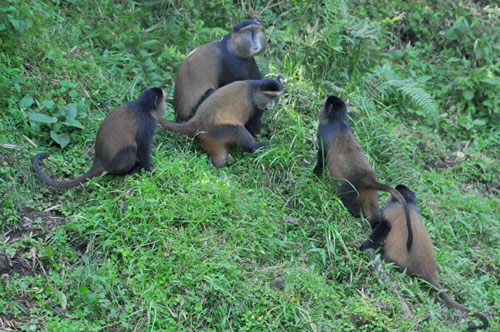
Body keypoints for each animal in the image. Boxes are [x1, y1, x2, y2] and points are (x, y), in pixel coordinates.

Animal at [32, 87, 167, 188]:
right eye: (163, 102)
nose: (165, 107)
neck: (141, 105)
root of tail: (99, 160)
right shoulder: (148, 122)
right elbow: (143, 147)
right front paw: (149, 172)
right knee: (131, 149)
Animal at [314, 96, 412, 252]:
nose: (322, 101)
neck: (337, 119)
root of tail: (370, 180)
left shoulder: (323, 133)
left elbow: (321, 157)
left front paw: (314, 177)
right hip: (370, 195)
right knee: (375, 217)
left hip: (351, 190)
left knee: (346, 198)